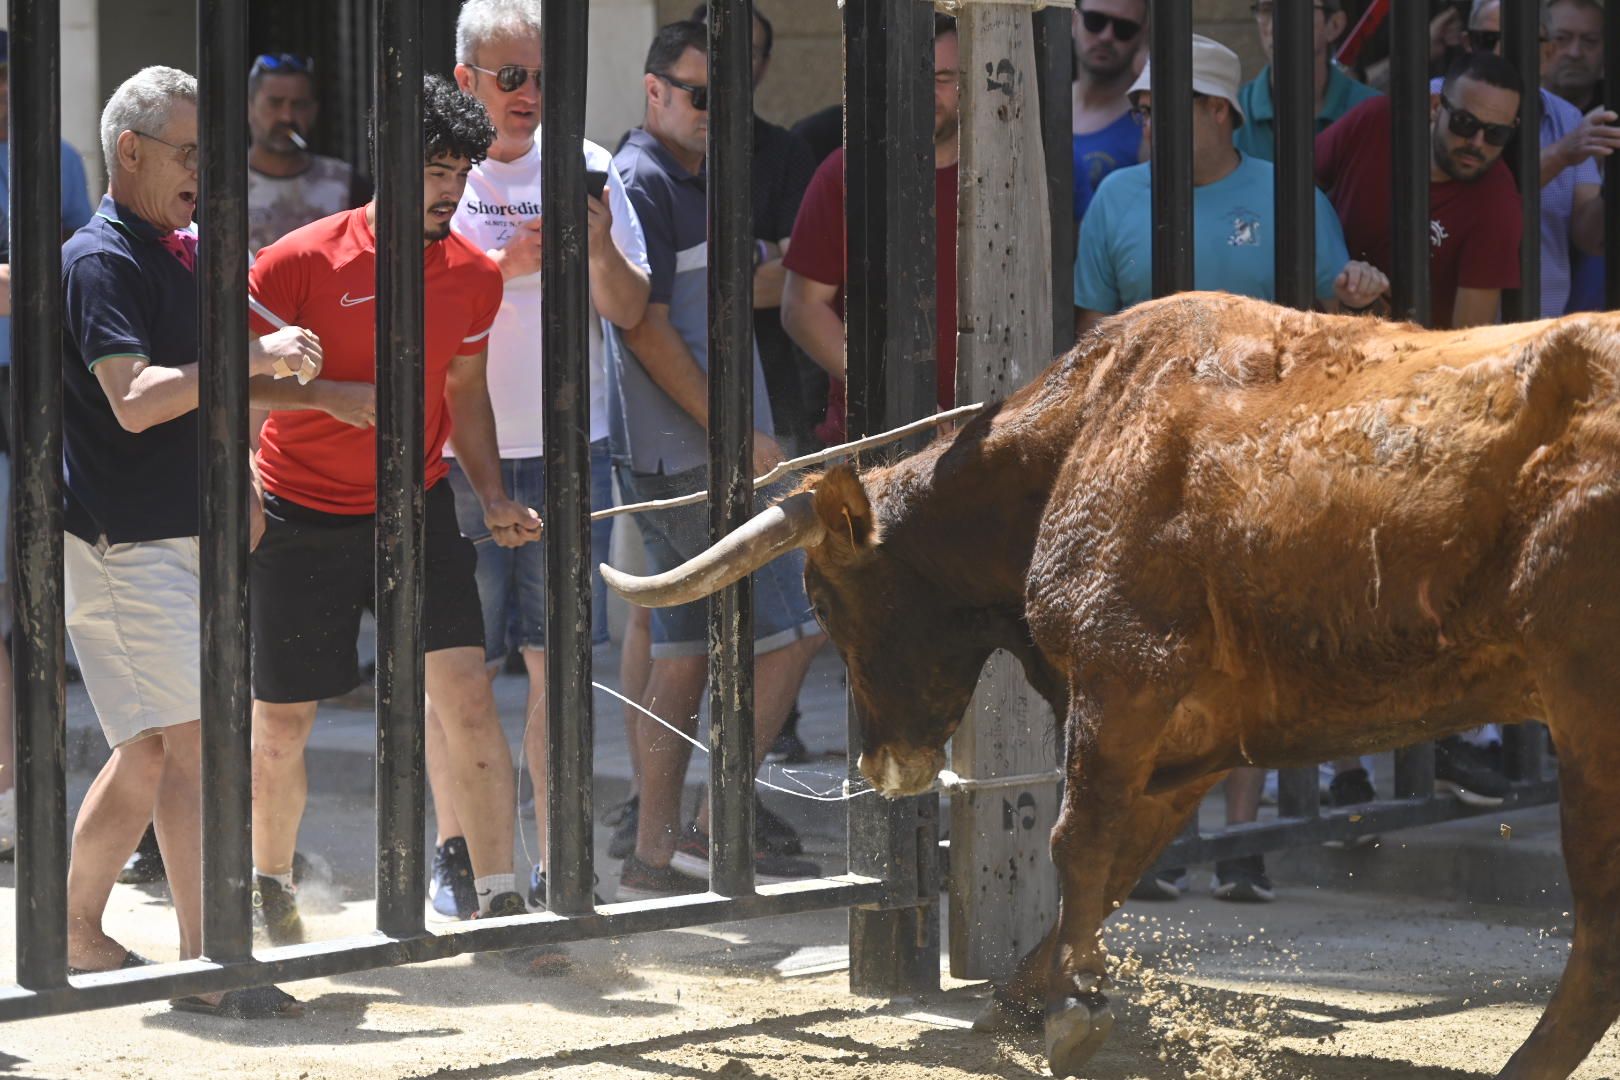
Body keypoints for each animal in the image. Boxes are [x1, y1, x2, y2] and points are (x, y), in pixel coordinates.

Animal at [599, 291, 1620, 1075]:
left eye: (823, 598)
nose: (882, 765)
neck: (1080, 433)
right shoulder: (1190, 739)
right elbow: (1125, 852)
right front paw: (1026, 993)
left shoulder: (1122, 677)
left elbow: (1079, 840)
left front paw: (1071, 1006)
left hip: (1589, 725)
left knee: (1599, 932)